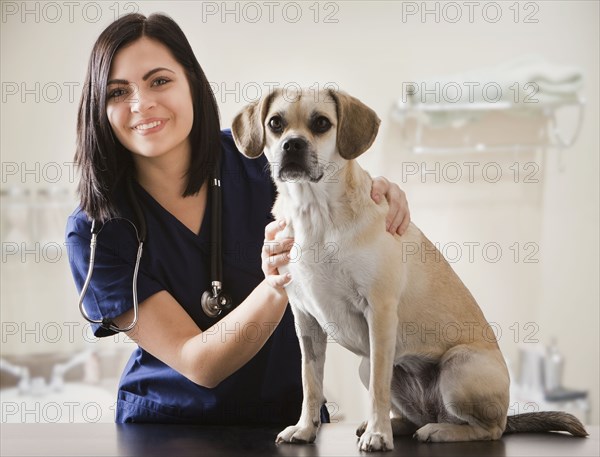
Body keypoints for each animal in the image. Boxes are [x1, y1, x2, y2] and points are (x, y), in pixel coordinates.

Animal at [230, 87, 584, 450]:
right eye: (275, 123)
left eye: (321, 123)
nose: (292, 145)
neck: (315, 212)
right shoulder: (306, 322)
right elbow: (311, 383)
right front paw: (305, 429)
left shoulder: (380, 311)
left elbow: (377, 389)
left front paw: (377, 435)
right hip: (369, 366)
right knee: (419, 415)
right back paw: (402, 425)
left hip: (458, 367)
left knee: (489, 428)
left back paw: (437, 431)